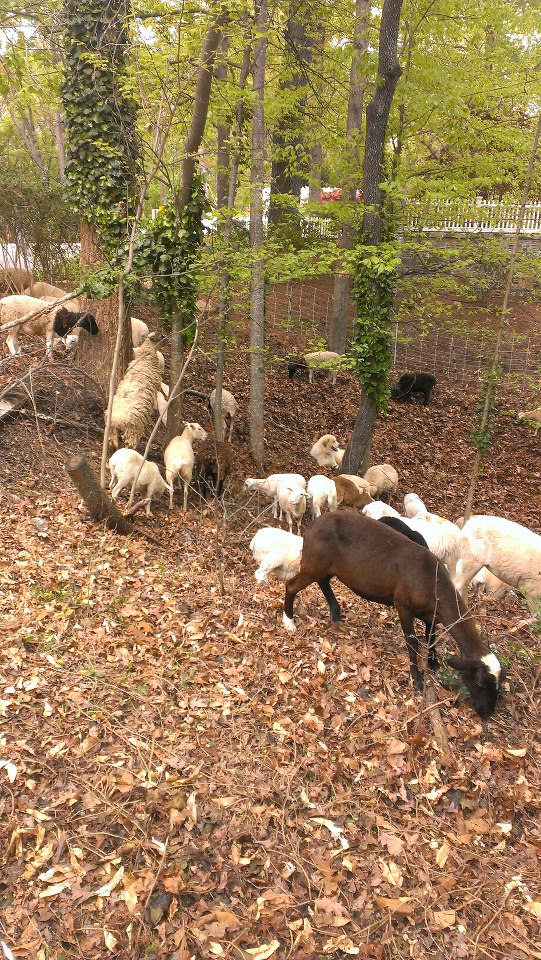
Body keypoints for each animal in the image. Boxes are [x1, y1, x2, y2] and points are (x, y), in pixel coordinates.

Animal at [282, 512, 505, 719]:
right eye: (480, 683)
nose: (487, 713)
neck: (433, 581)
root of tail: (312, 525)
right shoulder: (403, 606)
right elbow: (412, 643)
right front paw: (418, 680)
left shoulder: (431, 613)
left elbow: (431, 637)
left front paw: (433, 662)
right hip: (314, 562)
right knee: (291, 585)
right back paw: (289, 621)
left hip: (325, 566)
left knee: (323, 582)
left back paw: (336, 616)